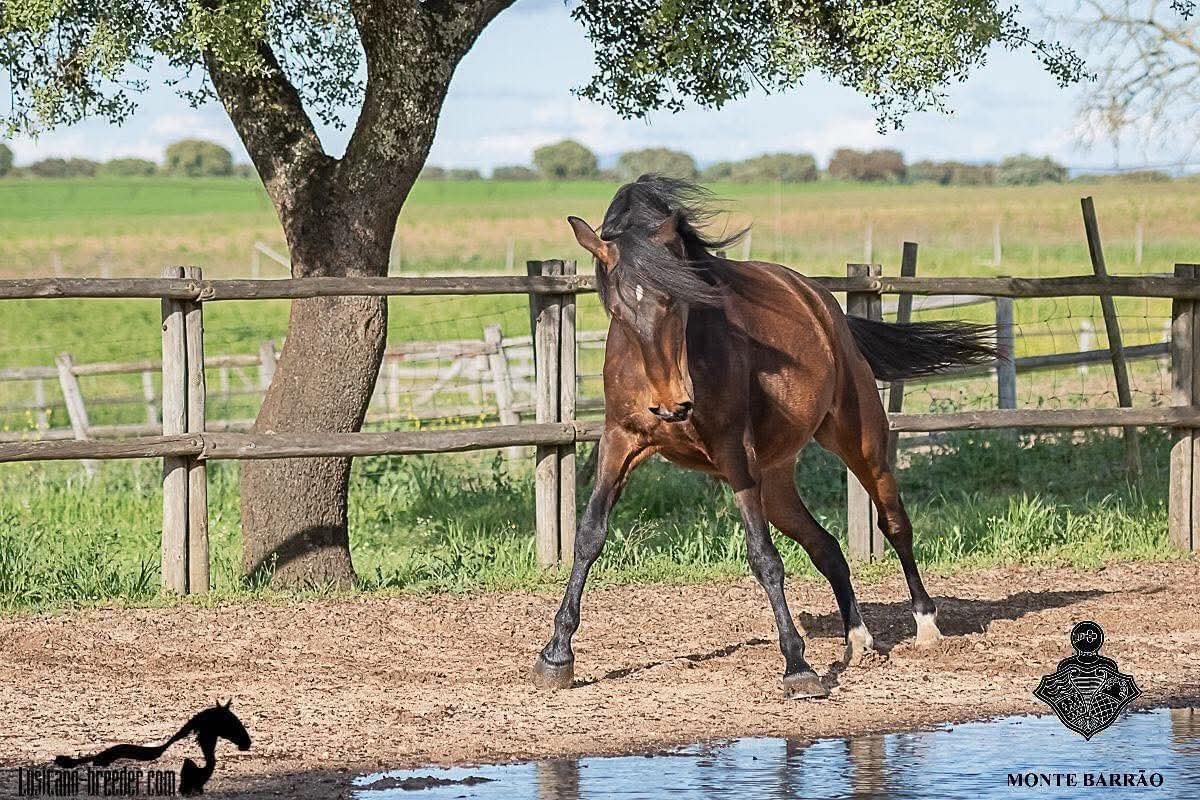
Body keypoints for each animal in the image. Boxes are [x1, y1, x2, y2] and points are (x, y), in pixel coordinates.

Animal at [531, 175, 997, 699]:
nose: (672, 405)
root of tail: (821, 302)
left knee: (894, 523)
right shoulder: (620, 442)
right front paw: (555, 654)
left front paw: (798, 665)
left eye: (676, 298)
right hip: (774, 479)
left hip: (859, 442)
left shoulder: (735, 455)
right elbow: (589, 535)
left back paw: (926, 625)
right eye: (617, 308)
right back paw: (857, 640)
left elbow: (764, 557)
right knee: (826, 546)